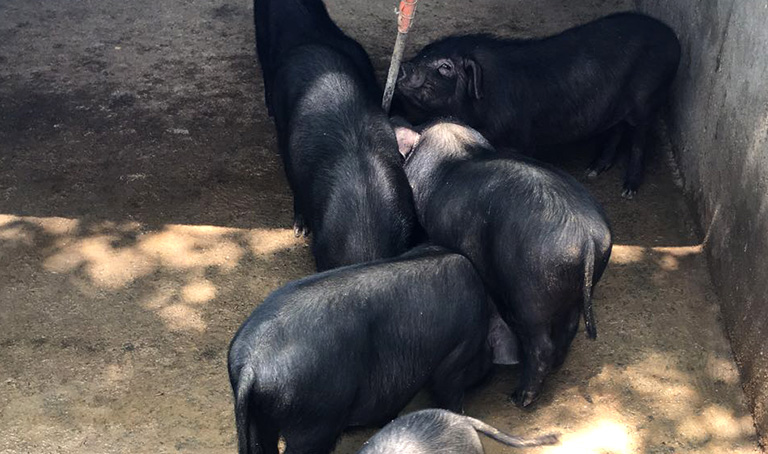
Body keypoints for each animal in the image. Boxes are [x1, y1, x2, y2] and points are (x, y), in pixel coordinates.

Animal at [395, 12, 681, 198]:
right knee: (617, 129)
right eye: (424, 52)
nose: (404, 67)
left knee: (639, 137)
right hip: (616, 106)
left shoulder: (517, 138)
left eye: (445, 67)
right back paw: (593, 170)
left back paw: (628, 190)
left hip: (648, 98)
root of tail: (674, 39)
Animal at [400, 121, 612, 407]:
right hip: (580, 285)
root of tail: (586, 237)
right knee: (569, 327)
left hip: (531, 294)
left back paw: (520, 398)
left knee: (540, 345)